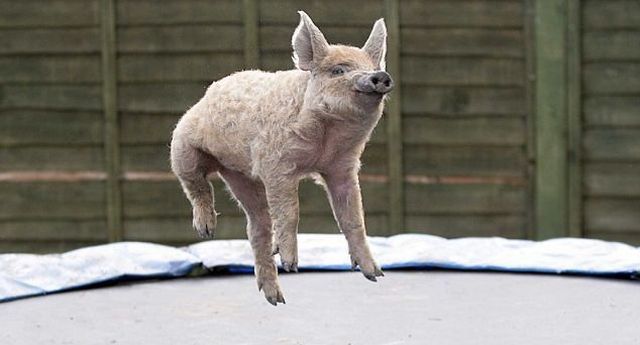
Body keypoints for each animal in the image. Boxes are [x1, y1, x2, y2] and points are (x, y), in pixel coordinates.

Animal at [170, 10, 390, 304]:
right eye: (339, 70)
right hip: (182, 145)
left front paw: (375, 274)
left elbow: (353, 218)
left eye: (370, 65)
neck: (324, 144)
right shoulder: (276, 166)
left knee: (257, 226)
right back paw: (207, 230)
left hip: (242, 177)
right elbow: (290, 211)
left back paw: (276, 298)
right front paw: (292, 265)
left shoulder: (342, 167)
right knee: (196, 184)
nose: (380, 75)